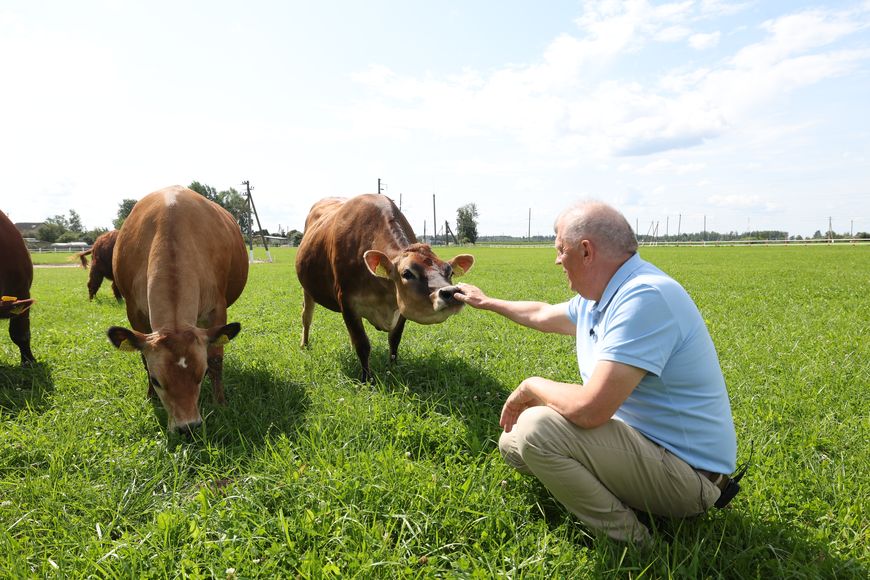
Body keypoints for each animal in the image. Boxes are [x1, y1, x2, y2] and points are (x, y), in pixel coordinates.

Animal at [106, 186, 249, 433]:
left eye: (202, 374)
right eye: (156, 380)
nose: (187, 427)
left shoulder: (217, 309)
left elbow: (216, 358)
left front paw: (220, 402)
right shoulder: (134, 311)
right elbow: (143, 359)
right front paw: (151, 396)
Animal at [295, 194, 474, 381]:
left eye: (449, 271)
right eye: (407, 273)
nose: (452, 292)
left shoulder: (400, 306)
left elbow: (394, 339)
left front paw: (393, 368)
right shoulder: (347, 302)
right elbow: (362, 344)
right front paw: (367, 379)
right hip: (307, 289)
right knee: (306, 317)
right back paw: (304, 345)